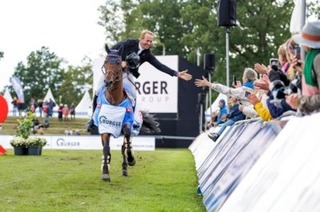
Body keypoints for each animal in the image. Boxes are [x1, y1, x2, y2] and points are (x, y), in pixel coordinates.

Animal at [94, 45, 160, 181]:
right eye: (105, 62)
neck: (114, 100)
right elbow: (106, 147)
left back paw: (125, 168)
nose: (107, 81)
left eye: (119, 62)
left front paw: (131, 159)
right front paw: (105, 171)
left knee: (124, 146)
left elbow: (127, 139)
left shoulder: (127, 122)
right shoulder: (105, 126)